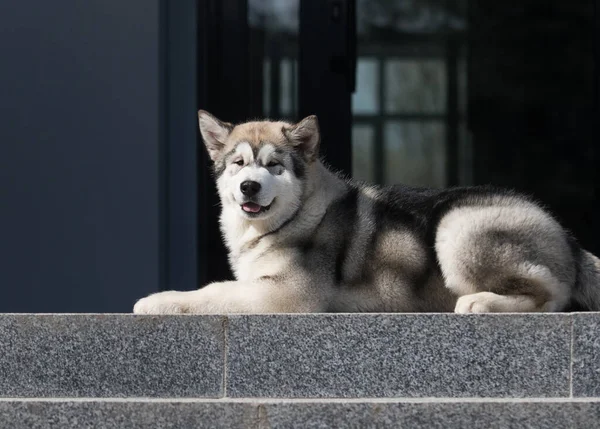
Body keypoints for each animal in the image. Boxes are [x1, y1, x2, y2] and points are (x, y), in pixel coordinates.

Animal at [134, 108, 600, 312]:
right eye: (237, 163)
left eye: (273, 165)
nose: (250, 186)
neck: (295, 215)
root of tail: (566, 236)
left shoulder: (288, 293)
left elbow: (213, 290)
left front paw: (160, 300)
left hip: (458, 227)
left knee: (551, 296)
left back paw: (482, 303)